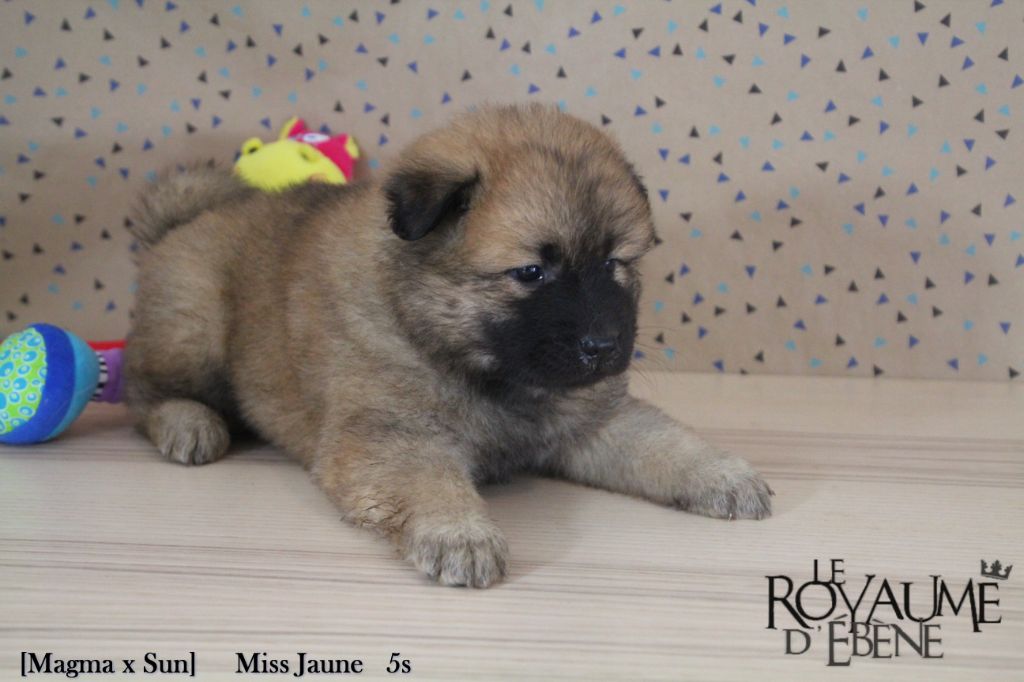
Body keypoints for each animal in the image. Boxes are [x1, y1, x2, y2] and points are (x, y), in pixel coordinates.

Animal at [124, 103, 772, 588]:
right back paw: (189, 423)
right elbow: (426, 480)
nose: (605, 345)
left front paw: (724, 474)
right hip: (196, 325)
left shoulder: (589, 418)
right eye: (531, 272)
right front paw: (459, 532)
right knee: (141, 391)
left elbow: (661, 441)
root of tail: (182, 224)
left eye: (615, 263)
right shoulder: (392, 434)